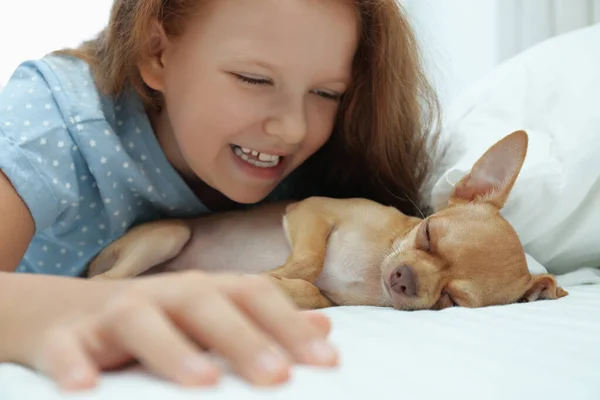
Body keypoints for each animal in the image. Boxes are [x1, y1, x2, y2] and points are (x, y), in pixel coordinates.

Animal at [88, 131, 568, 310]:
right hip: (169, 235)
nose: (404, 279)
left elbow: (308, 292)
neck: (372, 271)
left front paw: (273, 286)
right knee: (103, 283)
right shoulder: (312, 211)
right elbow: (307, 262)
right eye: (427, 234)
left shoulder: (333, 300)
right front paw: (269, 274)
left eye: (450, 300)